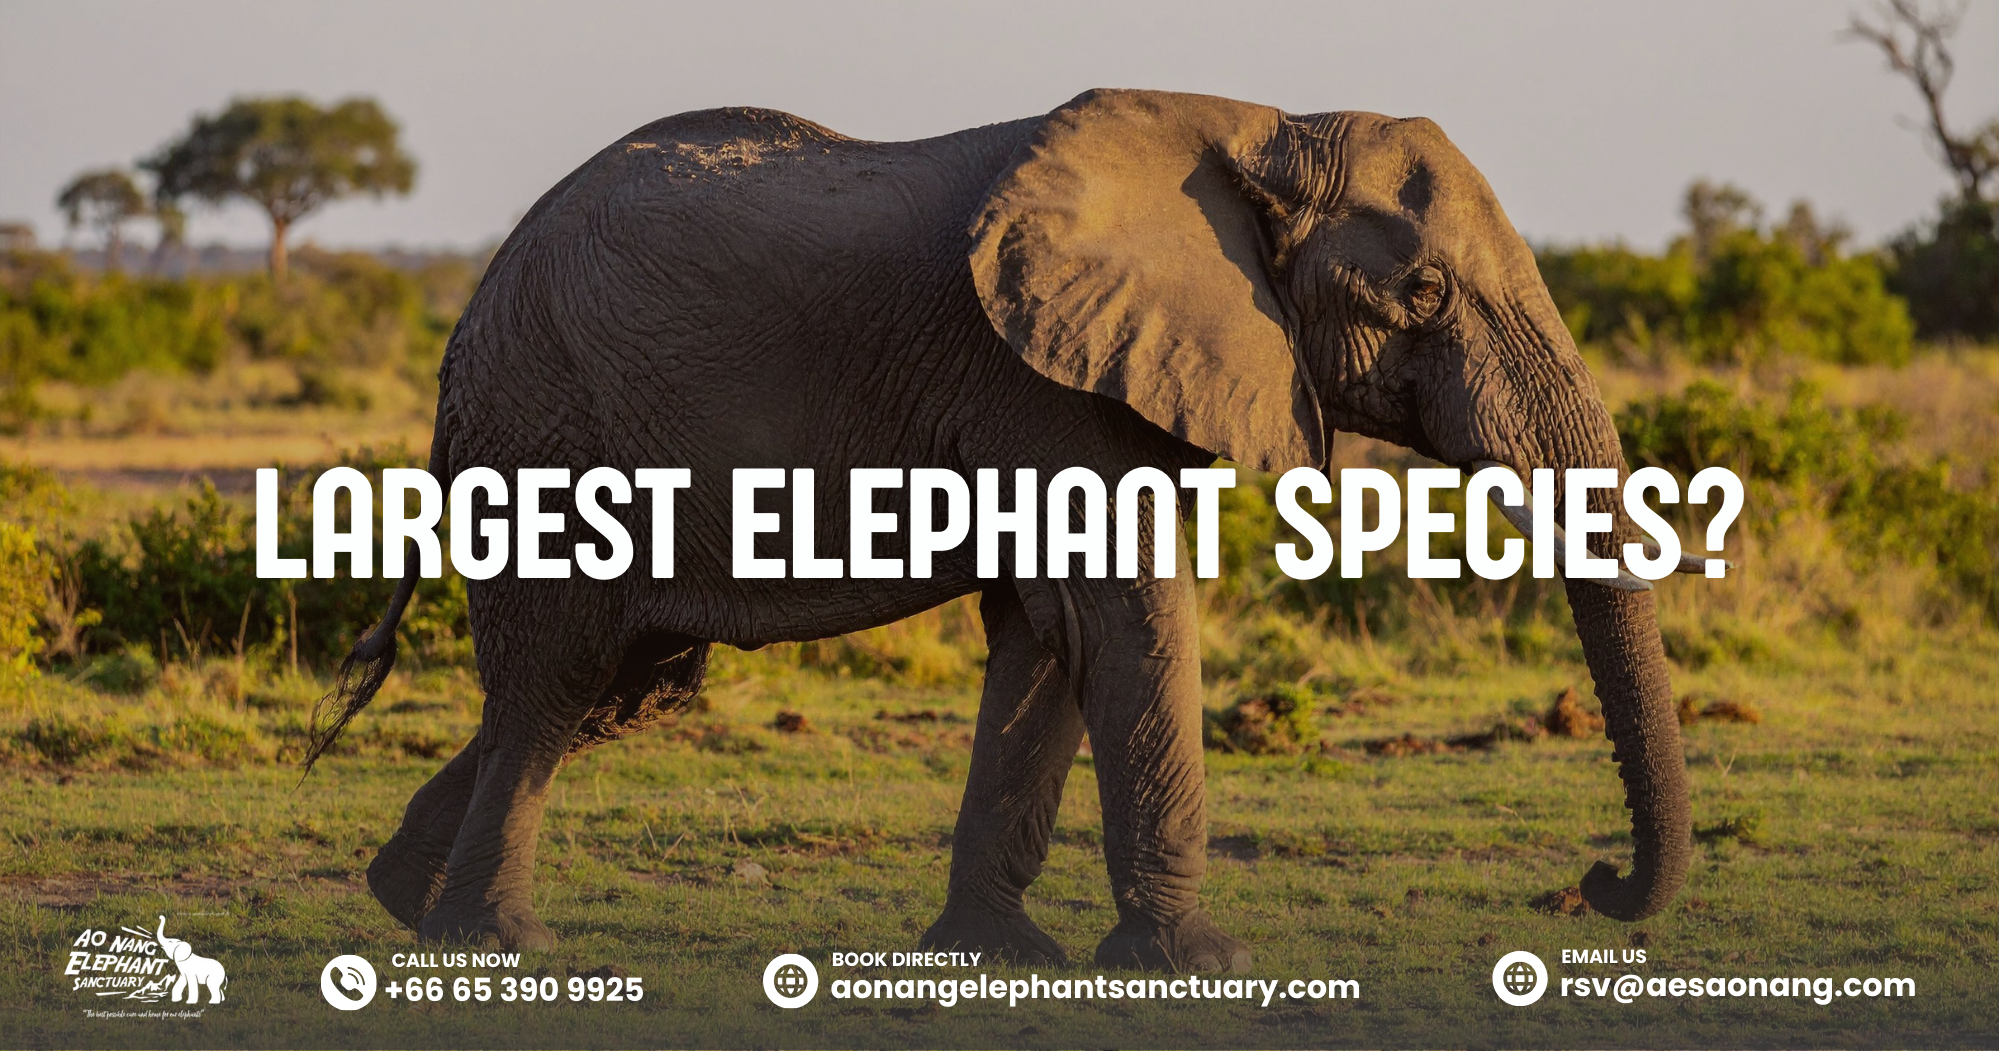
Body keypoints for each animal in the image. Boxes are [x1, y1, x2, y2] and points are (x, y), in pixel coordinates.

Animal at [314, 89, 1692, 971]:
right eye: (1423, 293)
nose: (1595, 887)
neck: (1260, 125)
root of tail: (466, 318)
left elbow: (1044, 635)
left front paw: (997, 954)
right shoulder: (1040, 379)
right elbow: (1127, 618)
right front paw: (1195, 962)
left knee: (613, 689)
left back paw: (401, 898)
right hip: (543, 426)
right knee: (556, 681)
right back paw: (493, 938)